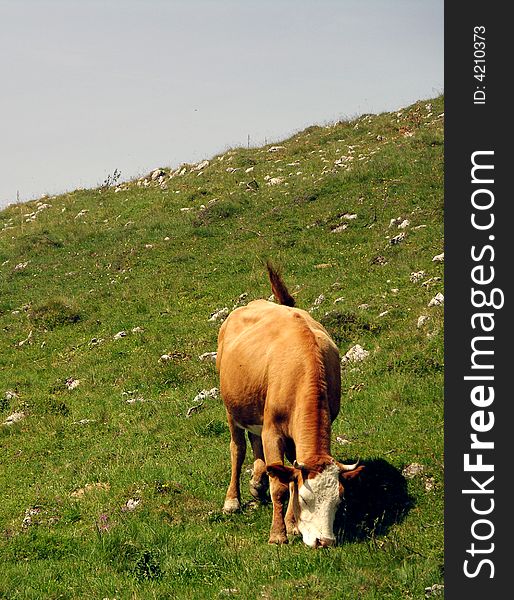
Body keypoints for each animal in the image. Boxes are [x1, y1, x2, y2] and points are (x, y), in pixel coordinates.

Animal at [214, 262, 362, 548]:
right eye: (306, 499)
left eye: (339, 499)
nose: (325, 541)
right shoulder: (274, 431)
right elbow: (281, 486)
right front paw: (278, 534)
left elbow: (291, 475)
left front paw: (293, 526)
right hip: (231, 410)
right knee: (237, 449)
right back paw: (232, 500)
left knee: (255, 442)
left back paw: (257, 482)